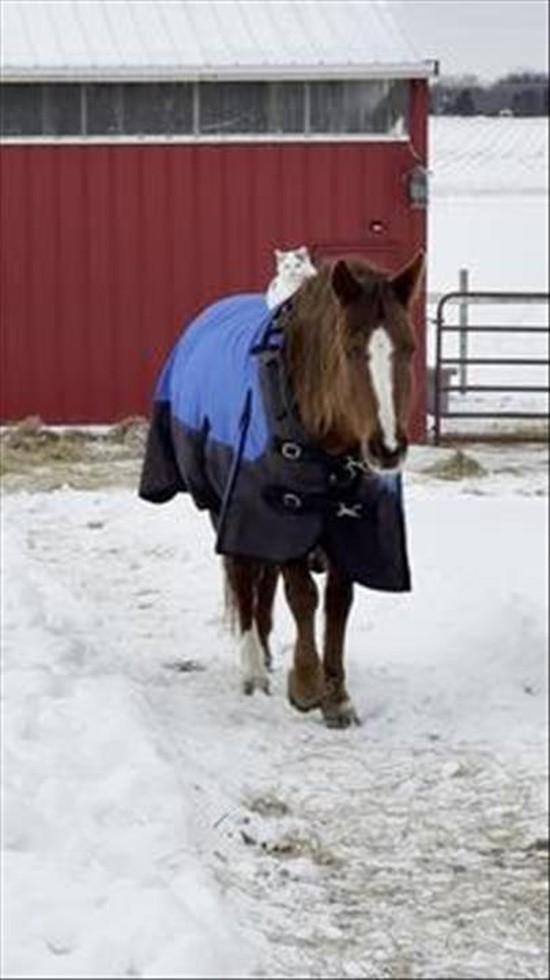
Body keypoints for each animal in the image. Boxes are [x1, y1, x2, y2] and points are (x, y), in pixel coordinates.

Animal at [139, 252, 425, 728]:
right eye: (350, 348)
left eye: (409, 347)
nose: (386, 449)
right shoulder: (280, 508)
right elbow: (303, 594)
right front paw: (307, 684)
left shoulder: (351, 520)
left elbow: (338, 602)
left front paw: (337, 694)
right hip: (224, 505)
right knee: (243, 575)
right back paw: (253, 666)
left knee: (263, 578)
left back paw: (268, 650)